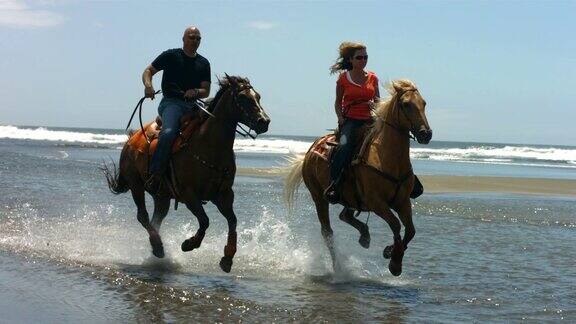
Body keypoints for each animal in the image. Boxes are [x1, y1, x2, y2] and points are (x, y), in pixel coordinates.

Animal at [103, 75, 270, 270]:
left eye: (258, 96)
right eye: (243, 97)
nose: (264, 122)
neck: (210, 146)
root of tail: (131, 139)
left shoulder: (223, 195)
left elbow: (233, 221)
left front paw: (228, 257)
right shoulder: (189, 194)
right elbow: (205, 221)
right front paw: (189, 244)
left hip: (162, 196)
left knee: (156, 220)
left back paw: (156, 247)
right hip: (136, 185)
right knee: (143, 216)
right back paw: (158, 247)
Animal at [286, 79, 430, 276]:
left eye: (424, 103)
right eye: (406, 104)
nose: (426, 134)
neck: (387, 157)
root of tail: (309, 152)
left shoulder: (402, 201)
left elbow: (410, 231)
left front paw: (390, 252)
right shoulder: (377, 203)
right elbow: (395, 225)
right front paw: (394, 261)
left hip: (351, 198)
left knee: (344, 215)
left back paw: (364, 235)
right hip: (319, 197)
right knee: (327, 232)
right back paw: (338, 267)